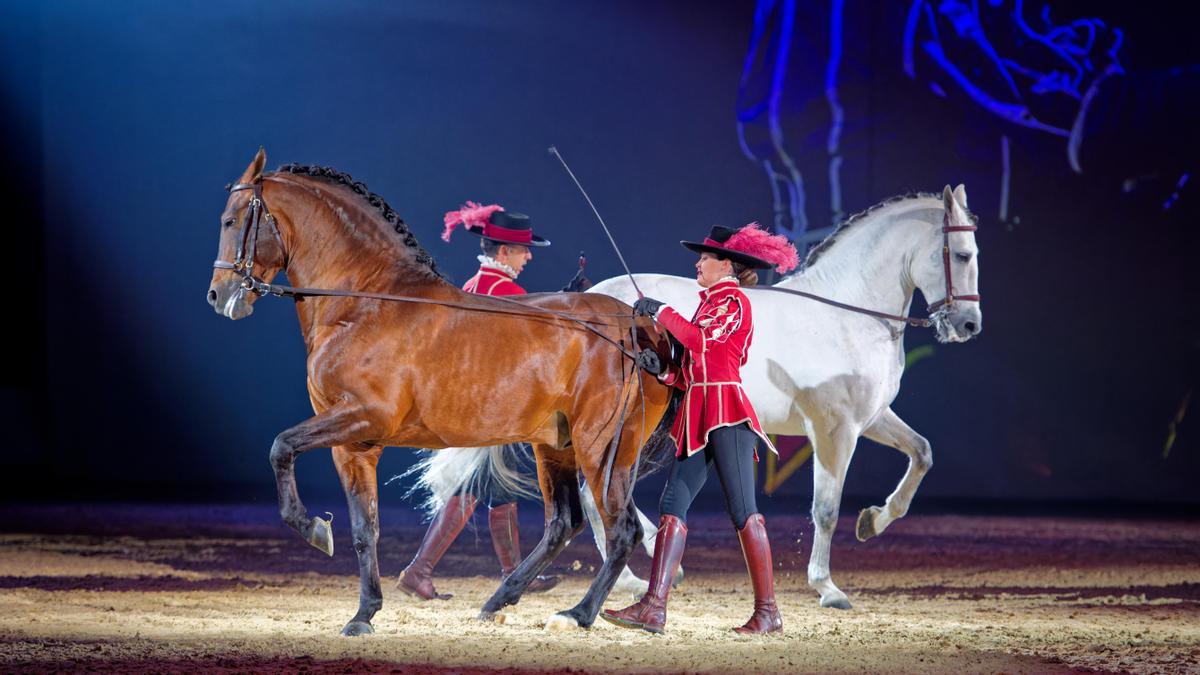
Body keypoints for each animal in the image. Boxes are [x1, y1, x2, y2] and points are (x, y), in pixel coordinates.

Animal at [207, 149, 676, 634]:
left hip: (602, 445)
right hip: (557, 445)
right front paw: (363, 613)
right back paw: (498, 600)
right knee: (564, 522)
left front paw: (314, 529)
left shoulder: (363, 416)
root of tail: (640, 326)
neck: (365, 303)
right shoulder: (354, 444)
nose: (220, 295)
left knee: (621, 528)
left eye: (231, 219)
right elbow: (364, 529)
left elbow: (281, 447)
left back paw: (577, 614)